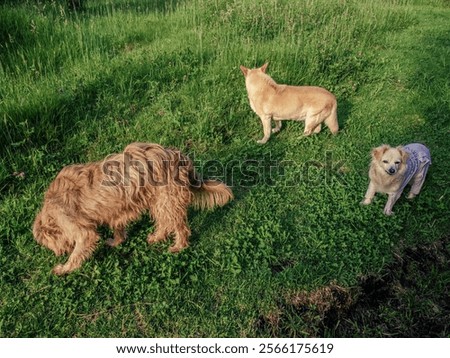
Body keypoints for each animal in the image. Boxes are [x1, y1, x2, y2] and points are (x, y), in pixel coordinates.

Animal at [33, 142, 234, 274]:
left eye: (48, 244)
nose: (60, 253)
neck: (50, 209)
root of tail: (178, 157)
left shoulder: (80, 229)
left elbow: (81, 246)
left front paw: (64, 268)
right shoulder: (115, 209)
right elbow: (118, 227)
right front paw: (117, 241)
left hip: (167, 200)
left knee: (179, 227)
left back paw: (178, 246)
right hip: (158, 201)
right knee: (164, 222)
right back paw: (157, 237)